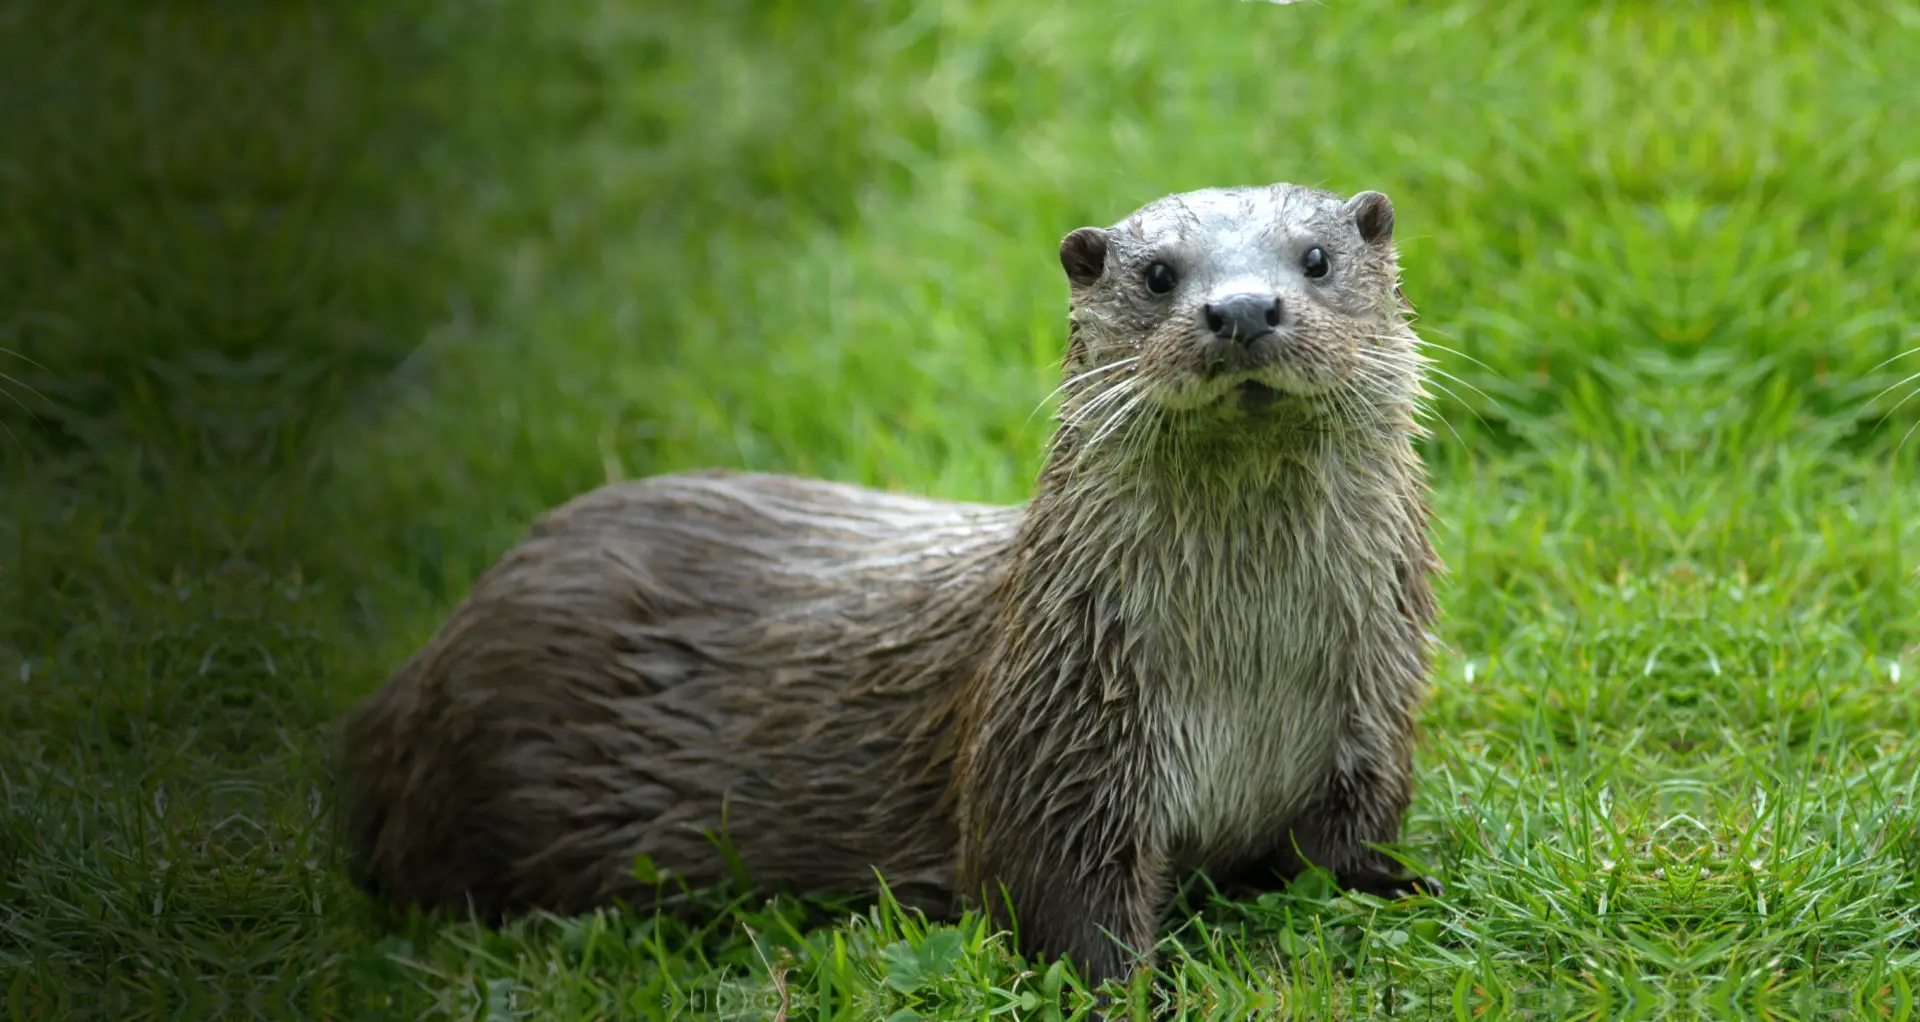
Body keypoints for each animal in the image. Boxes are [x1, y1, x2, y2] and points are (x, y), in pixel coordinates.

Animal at [340, 182, 1442, 989]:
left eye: (1315, 259)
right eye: (1161, 273)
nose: (1242, 309)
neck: (1246, 676)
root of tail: (414, 674)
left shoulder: (1369, 729)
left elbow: (1348, 854)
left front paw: (1415, 891)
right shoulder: (1057, 755)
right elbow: (1058, 910)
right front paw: (1147, 991)